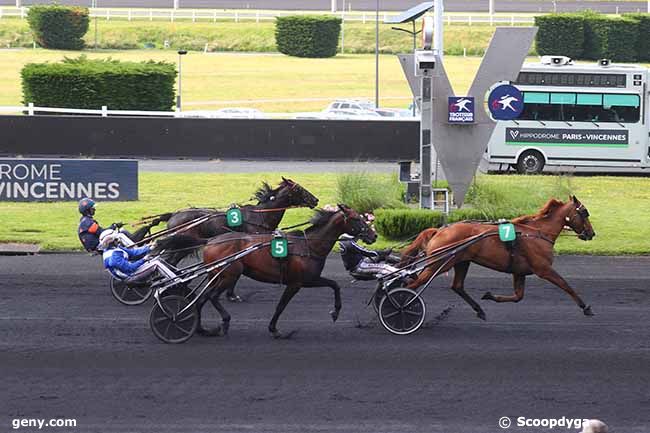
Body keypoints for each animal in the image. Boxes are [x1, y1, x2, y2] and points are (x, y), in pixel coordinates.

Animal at [156, 205, 374, 338]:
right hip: (229, 275)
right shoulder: (297, 282)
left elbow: (335, 285)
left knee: (202, 298)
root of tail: (210, 240)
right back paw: (223, 322)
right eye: (356, 218)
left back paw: (201, 328)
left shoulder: (310, 279)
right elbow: (281, 306)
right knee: (211, 296)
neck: (309, 246)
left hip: (216, 275)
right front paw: (275, 330)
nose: (373, 235)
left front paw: (335, 312)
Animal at [402, 197, 596, 318]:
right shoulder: (544, 269)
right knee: (413, 284)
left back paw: (479, 310)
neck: (537, 233)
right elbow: (565, 285)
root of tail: (440, 230)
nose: (592, 233)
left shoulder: (519, 272)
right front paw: (585, 307)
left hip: (462, 261)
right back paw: (404, 306)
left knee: (457, 286)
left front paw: (489, 296)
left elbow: (518, 296)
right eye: (585, 213)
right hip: (440, 264)